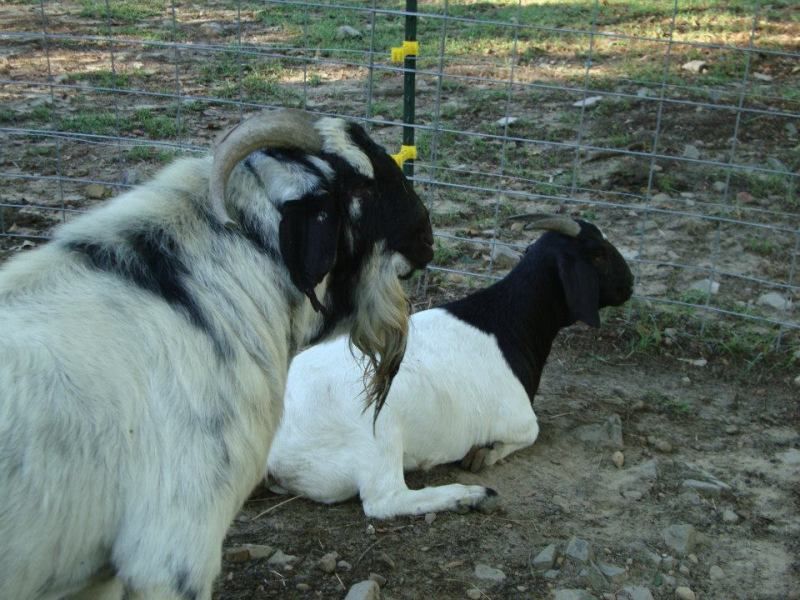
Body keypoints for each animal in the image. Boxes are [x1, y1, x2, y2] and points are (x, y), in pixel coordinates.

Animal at [266, 216, 634, 519]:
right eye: (597, 254)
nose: (630, 283)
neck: (508, 323)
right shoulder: (518, 417)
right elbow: (531, 433)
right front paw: (485, 454)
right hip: (376, 434)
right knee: (385, 500)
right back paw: (470, 496)